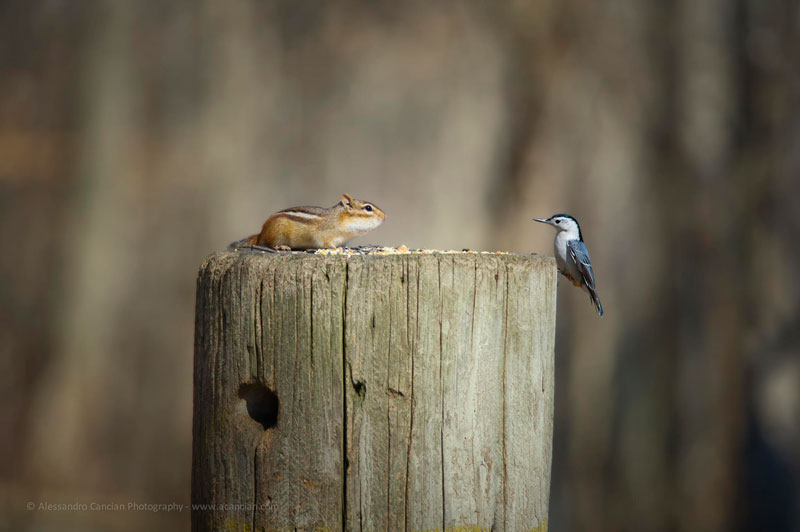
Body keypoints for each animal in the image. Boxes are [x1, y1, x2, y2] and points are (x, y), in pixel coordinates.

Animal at [228, 193, 386, 251]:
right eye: (368, 208)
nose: (385, 216)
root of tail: (261, 233)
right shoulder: (325, 236)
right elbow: (327, 244)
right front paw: (335, 249)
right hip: (276, 234)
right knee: (268, 244)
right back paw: (281, 247)